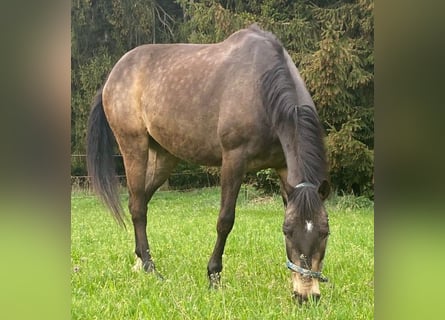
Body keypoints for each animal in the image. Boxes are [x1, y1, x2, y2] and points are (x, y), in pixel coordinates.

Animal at [86, 24, 330, 302]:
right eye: (287, 231)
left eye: (325, 232)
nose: (306, 295)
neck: (262, 89)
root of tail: (111, 78)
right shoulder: (233, 160)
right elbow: (225, 220)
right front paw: (213, 276)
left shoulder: (284, 168)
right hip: (133, 147)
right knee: (137, 206)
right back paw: (151, 268)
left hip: (165, 157)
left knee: (141, 201)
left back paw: (139, 261)